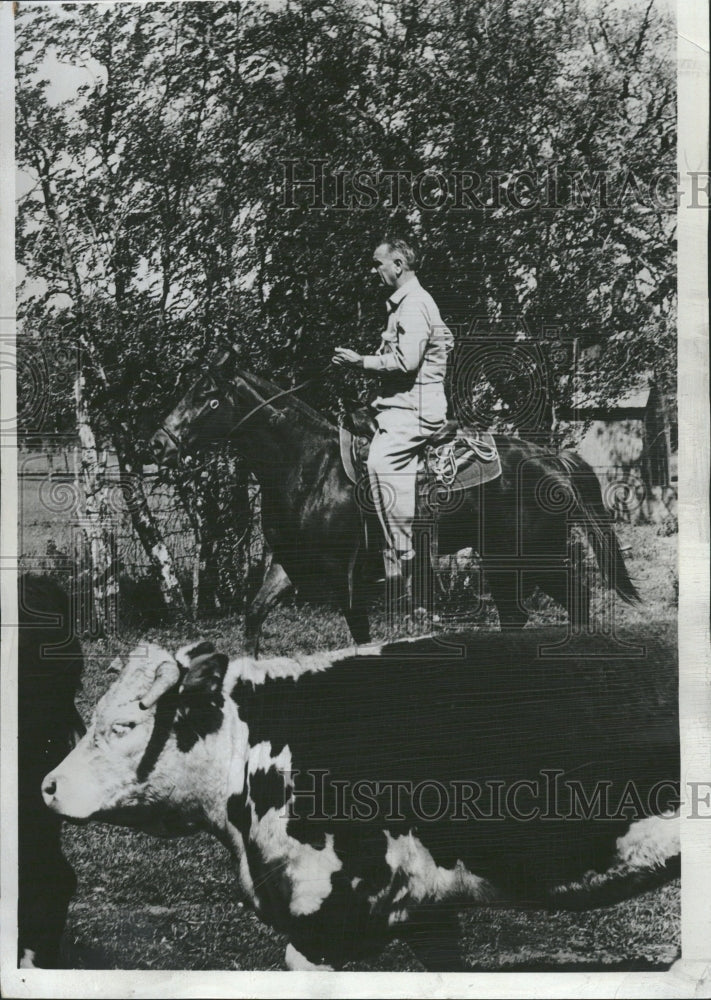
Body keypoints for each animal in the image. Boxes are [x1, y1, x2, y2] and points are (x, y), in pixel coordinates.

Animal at [150, 360, 640, 656]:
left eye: (207, 396)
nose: (157, 444)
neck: (308, 465)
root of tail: (553, 460)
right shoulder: (288, 564)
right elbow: (253, 617)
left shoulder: (345, 577)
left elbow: (359, 635)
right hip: (503, 560)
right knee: (520, 615)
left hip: (532, 557)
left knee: (575, 603)